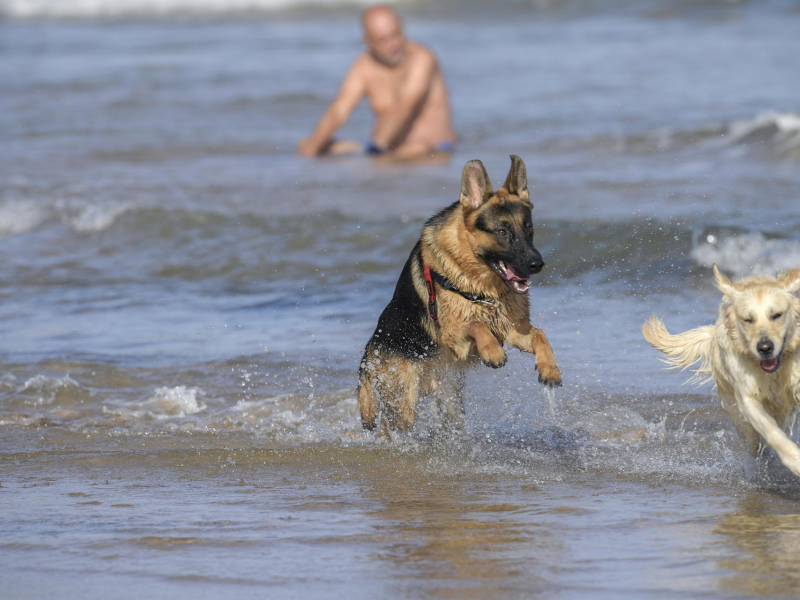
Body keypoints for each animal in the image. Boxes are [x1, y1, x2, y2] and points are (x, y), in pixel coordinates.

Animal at [360, 155, 560, 436]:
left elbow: (540, 334)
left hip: (450, 400)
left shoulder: (512, 329)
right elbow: (475, 323)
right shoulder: (454, 335)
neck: (482, 286)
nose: (537, 264)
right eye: (502, 232)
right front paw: (492, 351)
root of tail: (370, 349)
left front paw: (550, 368)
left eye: (529, 228)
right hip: (403, 404)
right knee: (390, 428)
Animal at [640, 264, 800, 476]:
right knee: (755, 443)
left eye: (777, 315)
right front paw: (795, 461)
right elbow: (771, 432)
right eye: (747, 320)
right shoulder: (747, 398)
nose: (765, 348)